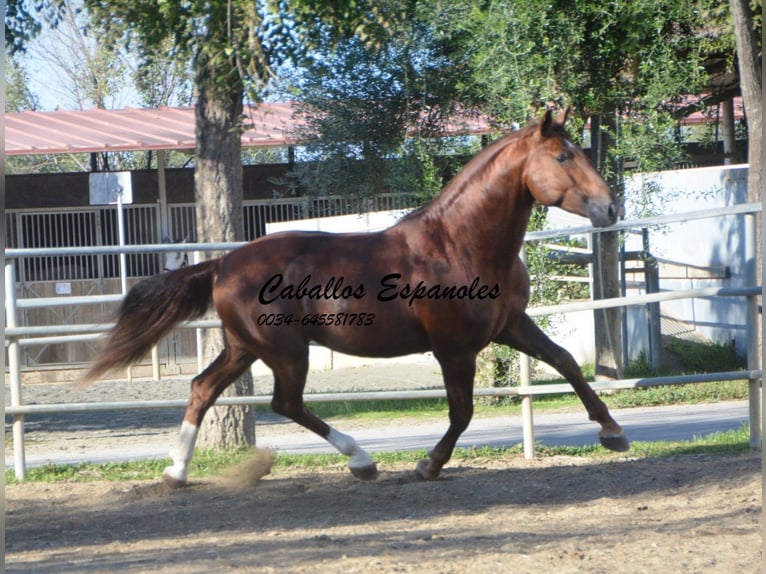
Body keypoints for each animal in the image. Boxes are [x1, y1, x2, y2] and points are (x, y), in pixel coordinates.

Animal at [81, 110, 632, 488]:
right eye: (562, 157)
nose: (610, 208)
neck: (460, 243)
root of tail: (224, 264)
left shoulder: (511, 325)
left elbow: (566, 363)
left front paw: (612, 432)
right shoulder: (455, 349)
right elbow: (462, 412)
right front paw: (428, 464)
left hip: (244, 349)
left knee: (202, 388)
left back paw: (176, 473)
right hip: (284, 351)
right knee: (285, 402)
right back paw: (362, 461)